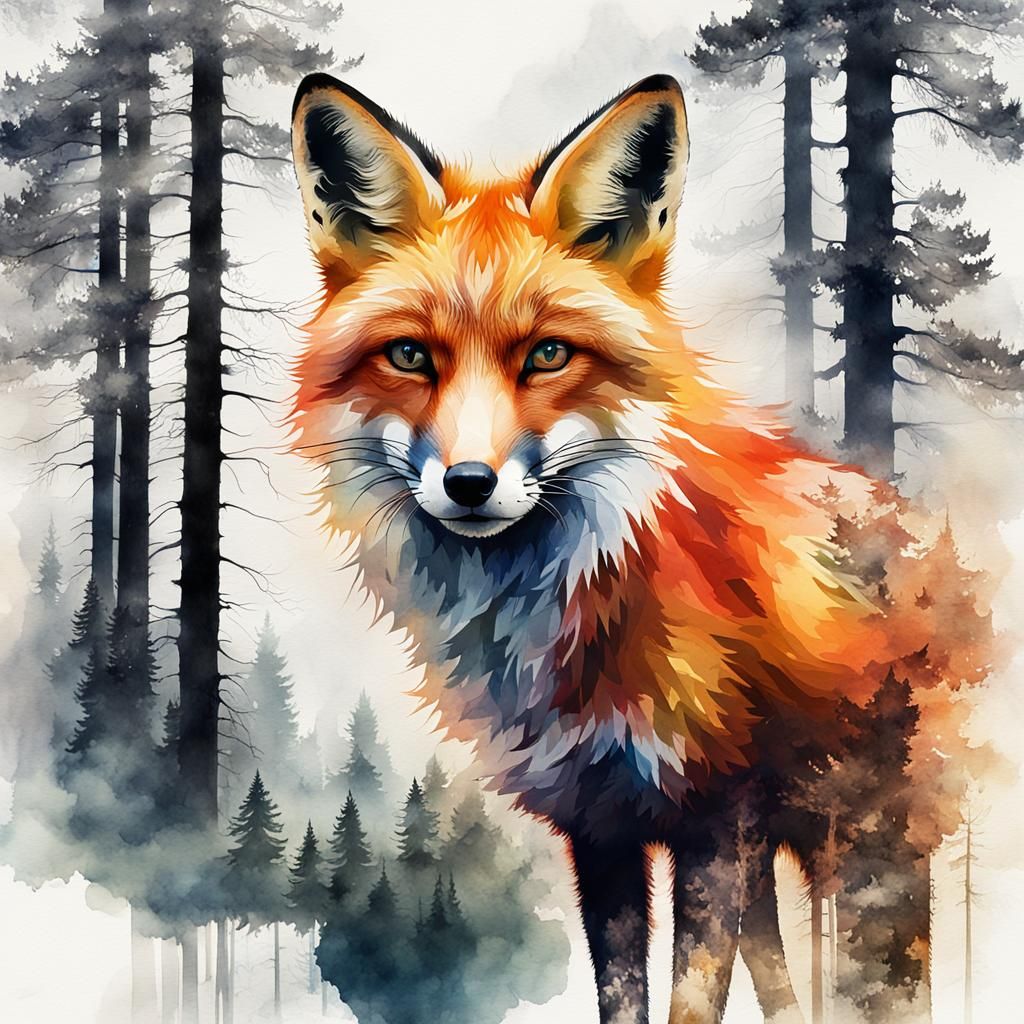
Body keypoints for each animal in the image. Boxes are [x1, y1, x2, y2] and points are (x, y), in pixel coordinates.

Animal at [288, 73, 901, 1024]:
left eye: (547, 355)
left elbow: (689, 1000)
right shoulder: (601, 820)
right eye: (410, 356)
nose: (469, 483)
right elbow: (625, 994)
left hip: (871, 845)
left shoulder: (713, 817)